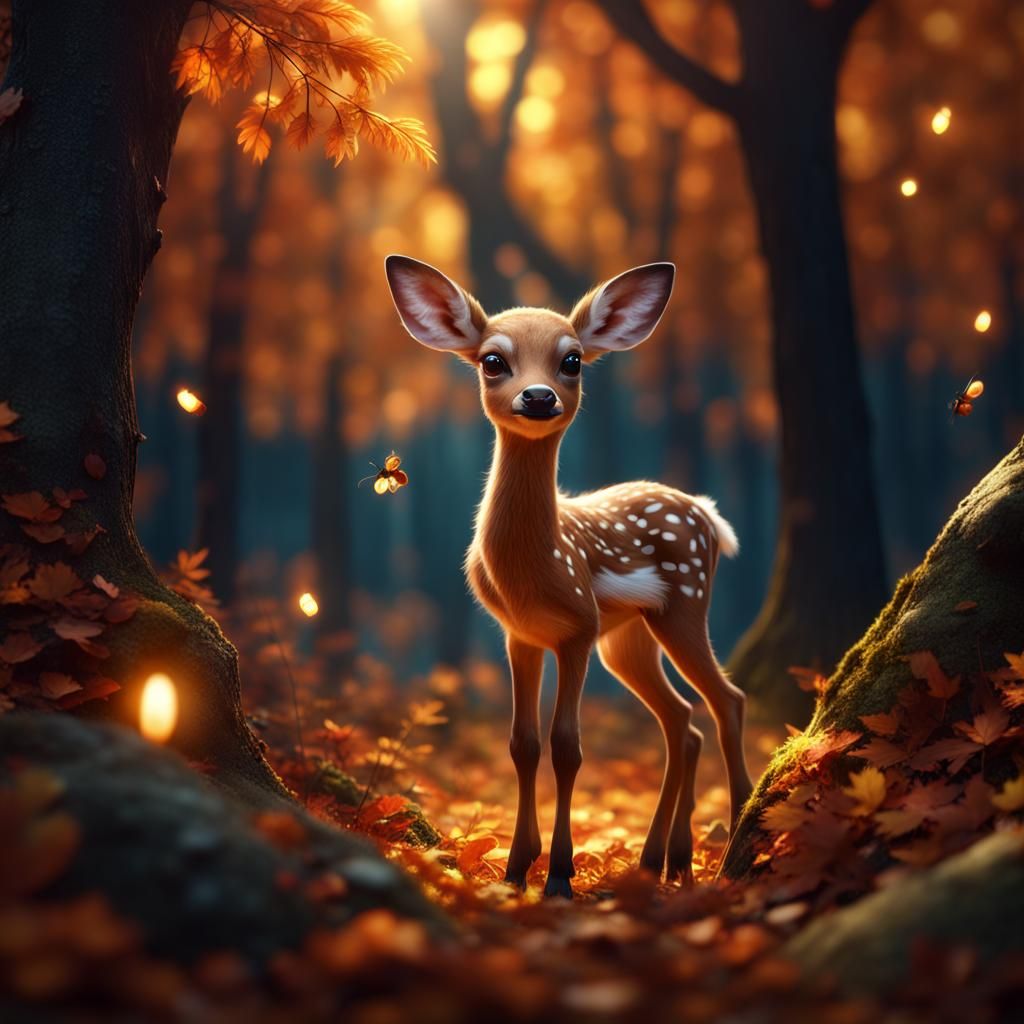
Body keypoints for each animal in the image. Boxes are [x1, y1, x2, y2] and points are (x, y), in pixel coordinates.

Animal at [384, 255, 753, 897]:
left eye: (573, 359)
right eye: (492, 360)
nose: (538, 395)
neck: (535, 569)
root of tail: (706, 513)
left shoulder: (578, 627)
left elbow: (567, 747)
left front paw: (558, 875)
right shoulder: (521, 634)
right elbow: (522, 744)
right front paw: (514, 870)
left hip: (684, 603)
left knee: (725, 701)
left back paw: (729, 848)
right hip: (627, 638)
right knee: (682, 720)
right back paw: (664, 863)